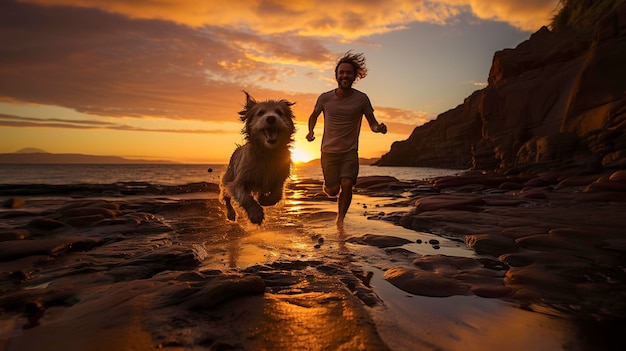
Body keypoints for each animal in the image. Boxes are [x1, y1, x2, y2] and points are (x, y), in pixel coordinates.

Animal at [218, 92, 296, 224]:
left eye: (279, 112)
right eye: (260, 113)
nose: (271, 118)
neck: (268, 153)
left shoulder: (280, 177)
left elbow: (277, 193)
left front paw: (264, 199)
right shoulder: (240, 179)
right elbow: (244, 196)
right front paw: (255, 213)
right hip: (229, 175)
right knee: (227, 195)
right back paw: (231, 213)